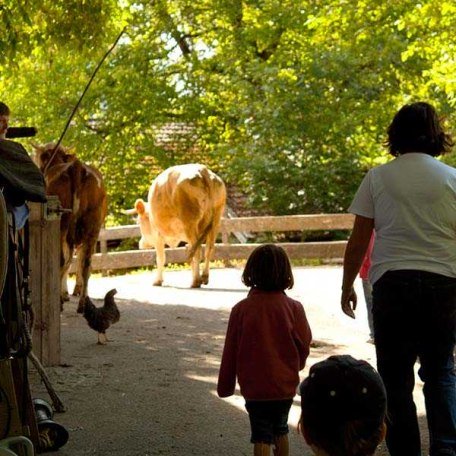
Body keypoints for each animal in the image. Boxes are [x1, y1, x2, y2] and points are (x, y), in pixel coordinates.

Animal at [33, 144, 107, 312]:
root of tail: (76, 166)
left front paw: (64, 294)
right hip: (92, 225)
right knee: (86, 263)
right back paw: (82, 303)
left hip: (62, 224)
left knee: (62, 259)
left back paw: (60, 301)